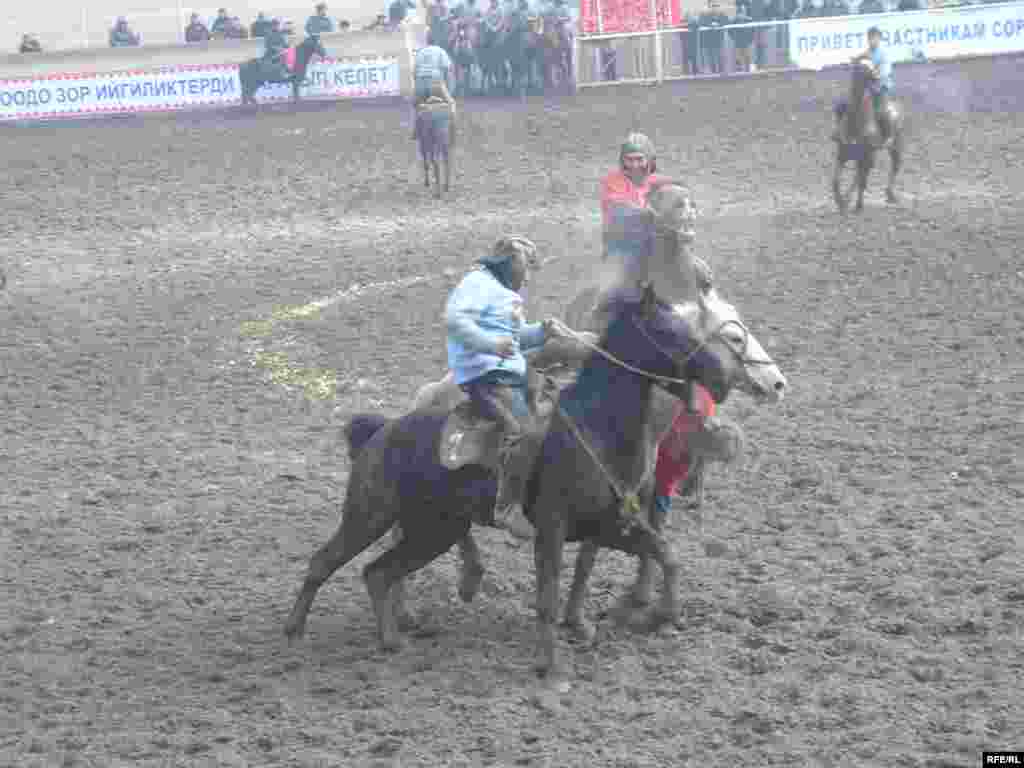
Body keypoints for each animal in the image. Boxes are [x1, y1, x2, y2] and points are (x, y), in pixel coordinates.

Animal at [831, 59, 905, 214]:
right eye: (862, 67)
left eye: (872, 66)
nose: (878, 79)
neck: (855, 123)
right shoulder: (843, 155)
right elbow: (835, 180)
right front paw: (840, 201)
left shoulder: (866, 156)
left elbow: (859, 181)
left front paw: (851, 204)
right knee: (861, 176)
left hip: (894, 147)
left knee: (894, 167)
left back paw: (890, 195)